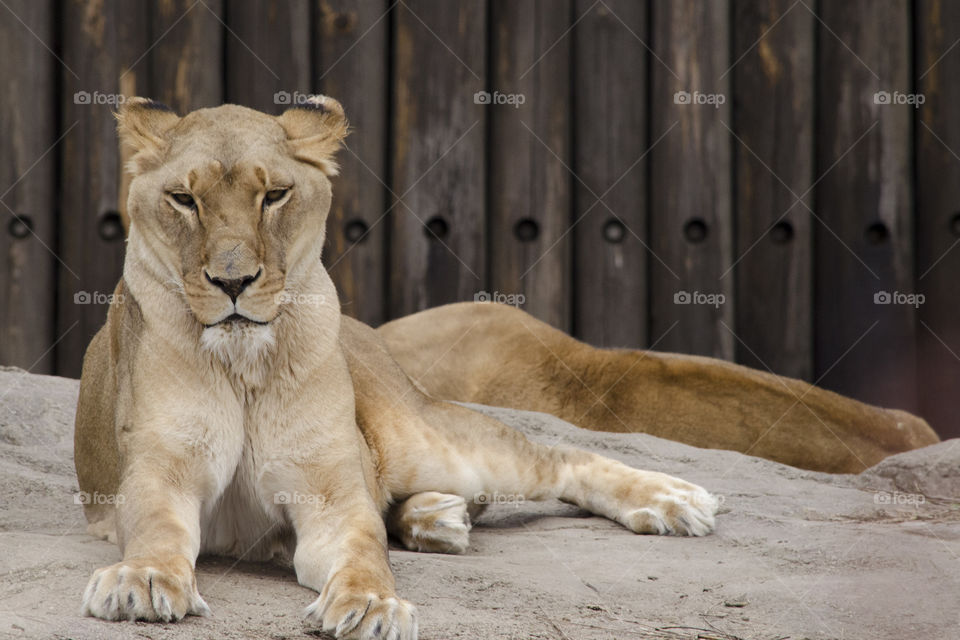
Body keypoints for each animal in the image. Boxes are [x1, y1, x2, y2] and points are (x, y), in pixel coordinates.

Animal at [74, 96, 719, 640]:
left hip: (431, 438)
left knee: (558, 456)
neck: (243, 366)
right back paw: (437, 518)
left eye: (275, 195)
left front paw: (372, 606)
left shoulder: (332, 493)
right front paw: (144, 579)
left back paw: (674, 500)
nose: (233, 282)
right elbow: (157, 528)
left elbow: (364, 550)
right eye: (184, 200)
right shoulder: (160, 472)